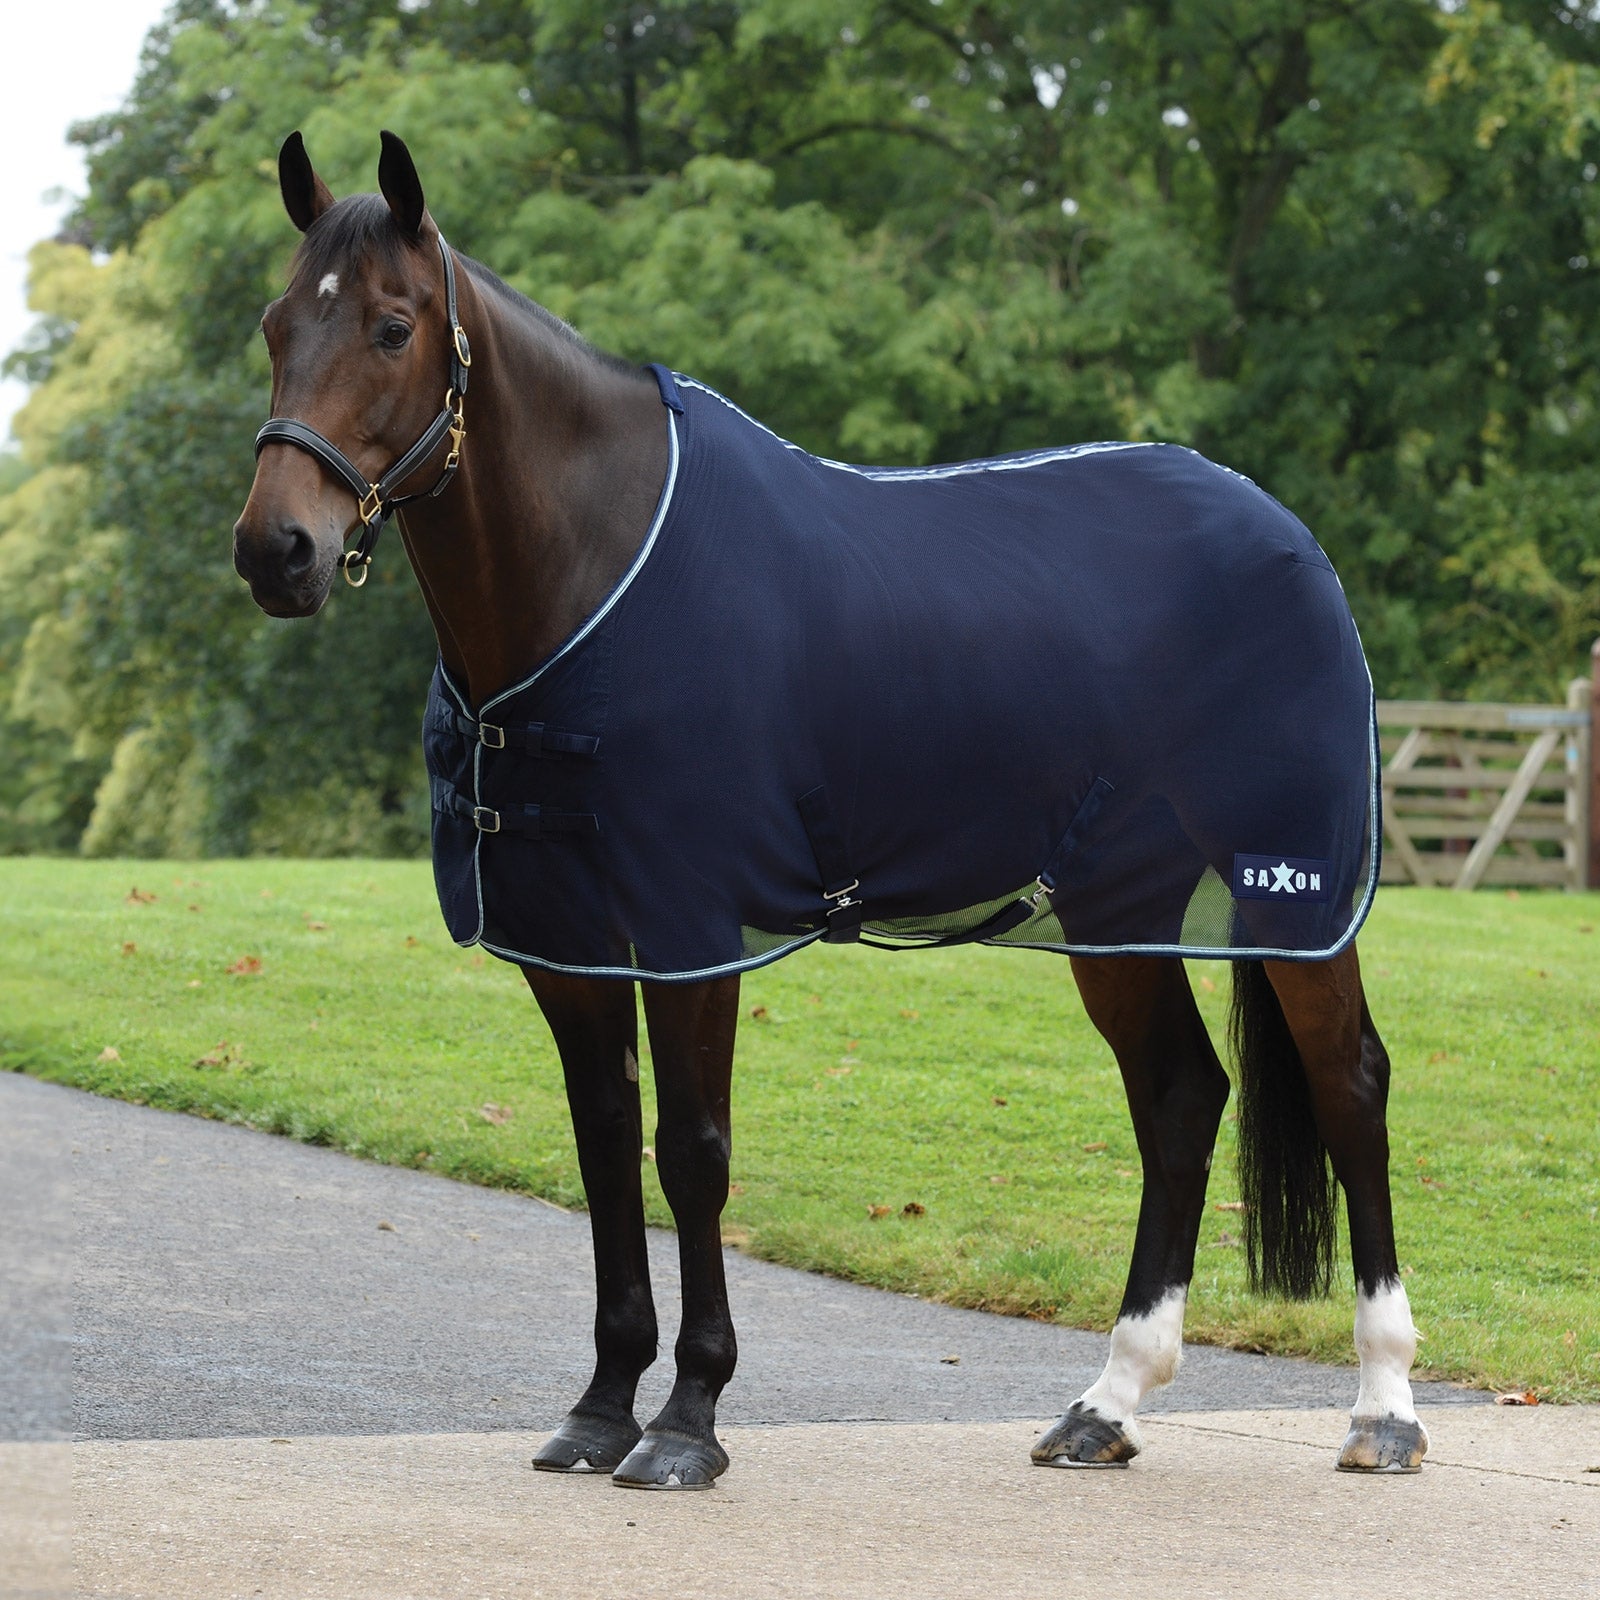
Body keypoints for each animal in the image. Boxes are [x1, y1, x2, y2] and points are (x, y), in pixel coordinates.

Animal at [233, 131, 1428, 1489]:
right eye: (276, 324)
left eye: (391, 327)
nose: (276, 550)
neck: (599, 567)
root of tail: (1286, 536)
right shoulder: (569, 940)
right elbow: (603, 1146)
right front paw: (599, 1408)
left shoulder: (692, 927)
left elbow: (690, 1153)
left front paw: (687, 1421)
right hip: (1113, 908)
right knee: (1177, 1098)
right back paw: (1106, 1403)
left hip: (1294, 894)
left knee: (1349, 1084)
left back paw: (1383, 1407)